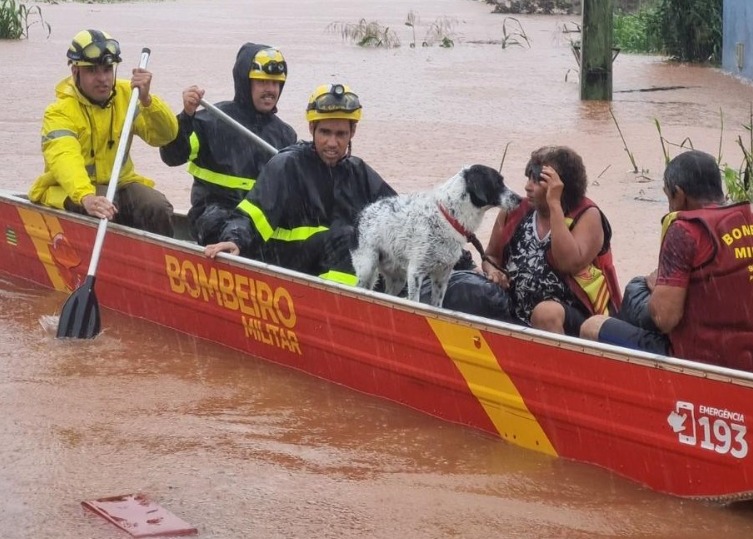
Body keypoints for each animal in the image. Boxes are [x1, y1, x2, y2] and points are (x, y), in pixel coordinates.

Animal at [352, 163, 516, 308]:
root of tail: (363, 212)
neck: (448, 217)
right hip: (367, 267)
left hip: (397, 278)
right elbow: (415, 301)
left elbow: (437, 305)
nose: (519, 199)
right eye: (498, 182)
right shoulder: (415, 272)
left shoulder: (442, 276)